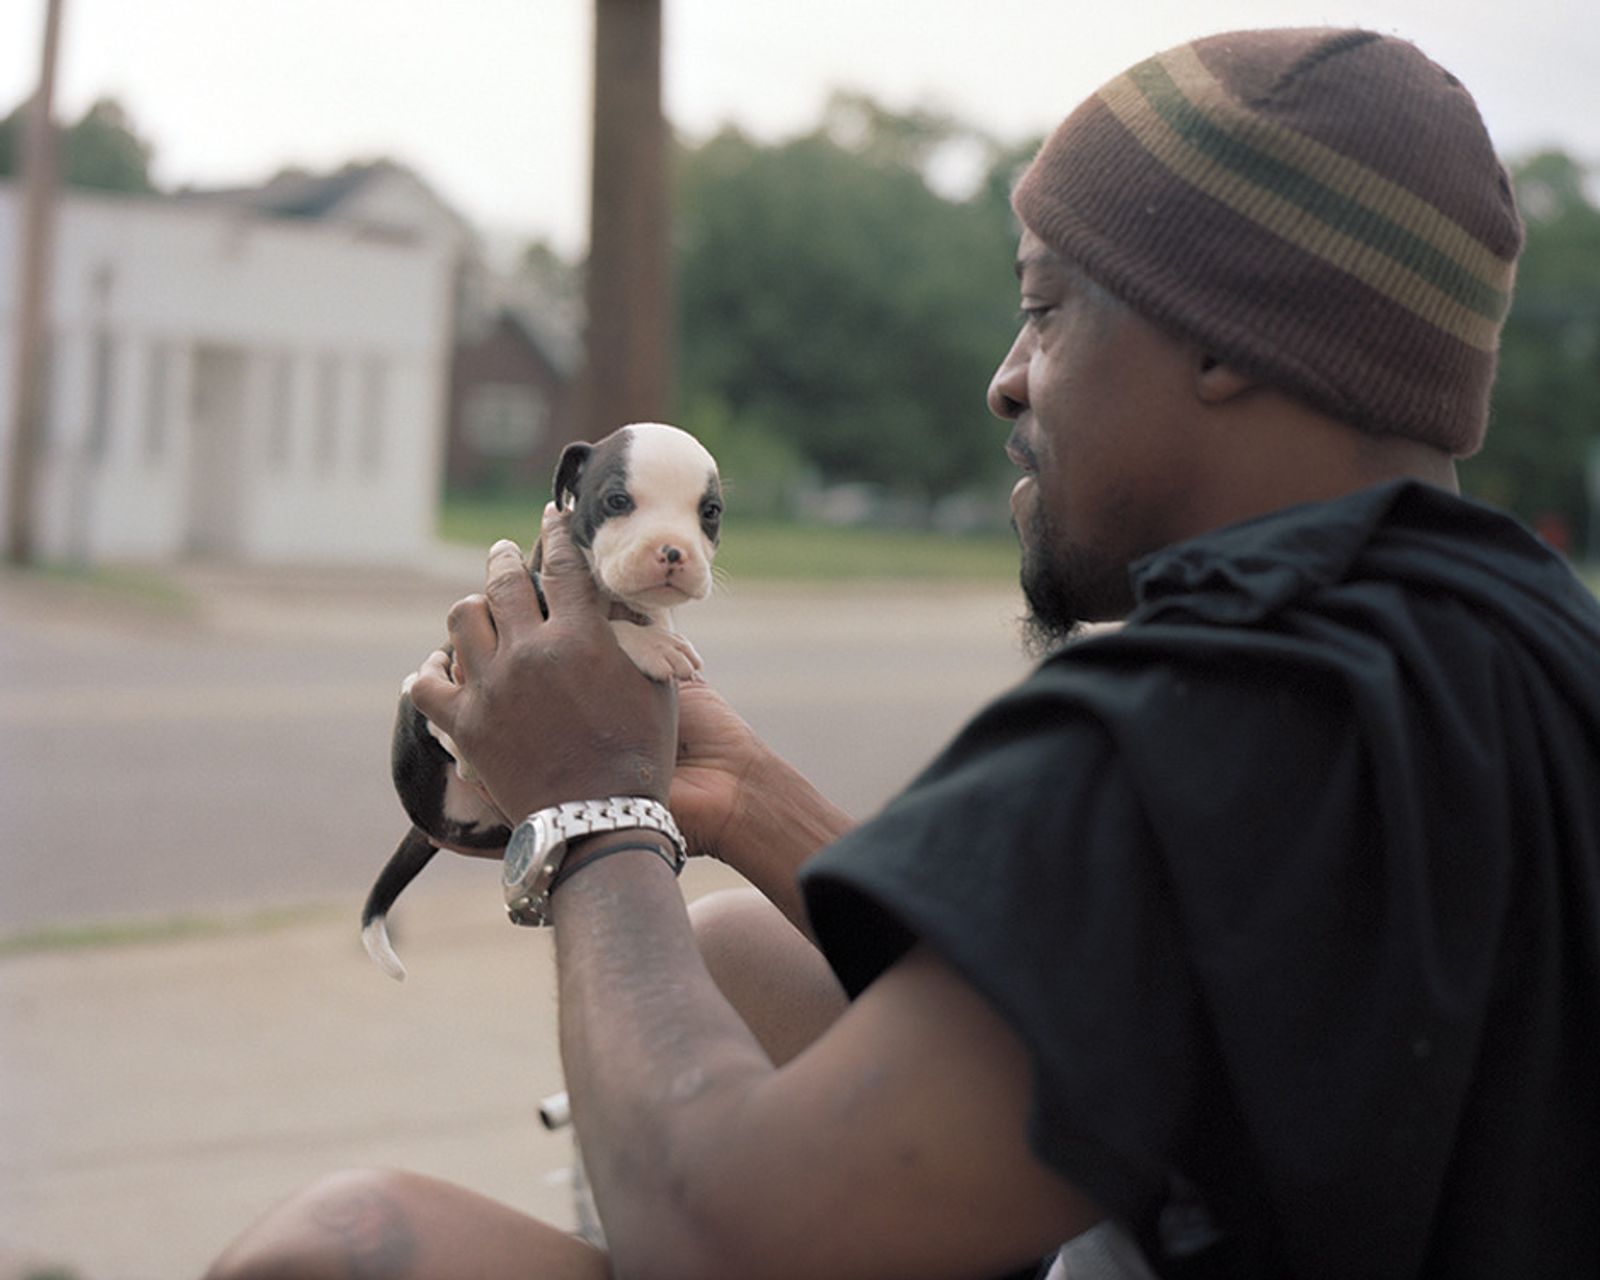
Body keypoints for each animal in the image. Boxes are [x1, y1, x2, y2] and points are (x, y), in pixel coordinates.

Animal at [363, 422, 720, 979]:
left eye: (710, 512)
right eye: (617, 500)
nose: (673, 551)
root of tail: (426, 825)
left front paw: (660, 631)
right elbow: (610, 631)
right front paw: (653, 644)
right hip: (422, 702)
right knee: (438, 723)